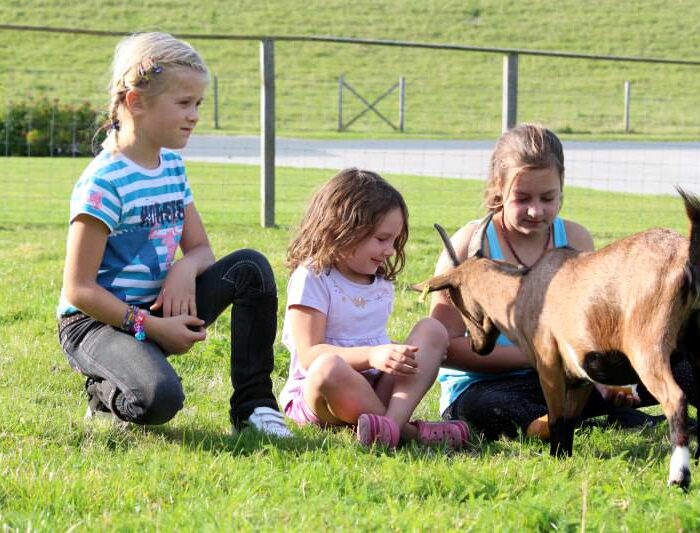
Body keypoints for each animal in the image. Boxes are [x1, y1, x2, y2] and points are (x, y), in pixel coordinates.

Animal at [416, 189, 700, 488]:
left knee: (675, 398)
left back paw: (679, 476)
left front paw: (555, 457)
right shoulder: (582, 375)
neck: (523, 288)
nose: (477, 346)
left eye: (456, 298)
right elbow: (570, 417)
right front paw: (564, 455)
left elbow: (557, 416)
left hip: (648, 348)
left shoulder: (549, 364)